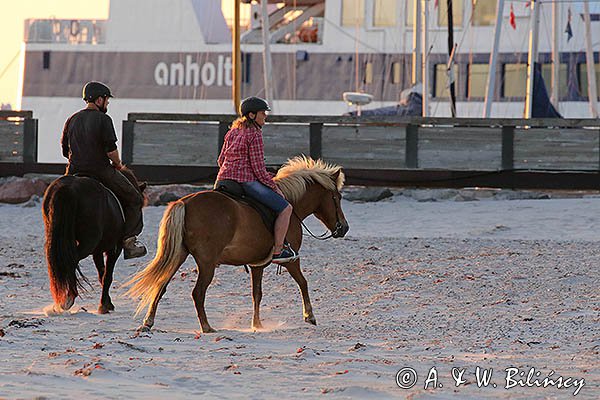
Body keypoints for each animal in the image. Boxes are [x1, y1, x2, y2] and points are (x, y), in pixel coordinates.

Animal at [42, 167, 145, 314]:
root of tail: (69, 188)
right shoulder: (114, 248)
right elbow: (107, 276)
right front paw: (104, 305)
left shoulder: (98, 250)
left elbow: (101, 274)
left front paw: (107, 302)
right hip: (88, 243)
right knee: (71, 261)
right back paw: (69, 298)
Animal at [127, 156, 352, 334]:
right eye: (338, 197)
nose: (344, 228)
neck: (291, 205)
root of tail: (186, 202)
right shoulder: (291, 260)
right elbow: (303, 282)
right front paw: (309, 316)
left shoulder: (257, 264)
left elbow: (256, 294)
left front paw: (257, 324)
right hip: (207, 263)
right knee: (198, 293)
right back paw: (206, 327)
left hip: (179, 255)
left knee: (160, 285)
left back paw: (148, 322)